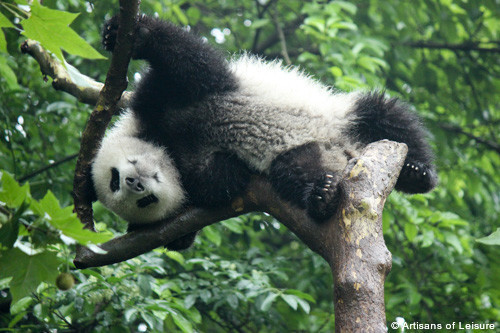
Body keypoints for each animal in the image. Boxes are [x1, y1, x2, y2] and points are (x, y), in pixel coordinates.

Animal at [91, 14, 438, 249]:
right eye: (140, 201)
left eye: (116, 176)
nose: (135, 184)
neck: (167, 143)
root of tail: (347, 154)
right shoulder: (192, 173)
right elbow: (219, 182)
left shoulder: (162, 100)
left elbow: (196, 68)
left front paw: (128, 33)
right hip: (305, 155)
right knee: (294, 171)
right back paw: (322, 197)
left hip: (345, 117)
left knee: (385, 115)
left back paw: (416, 172)